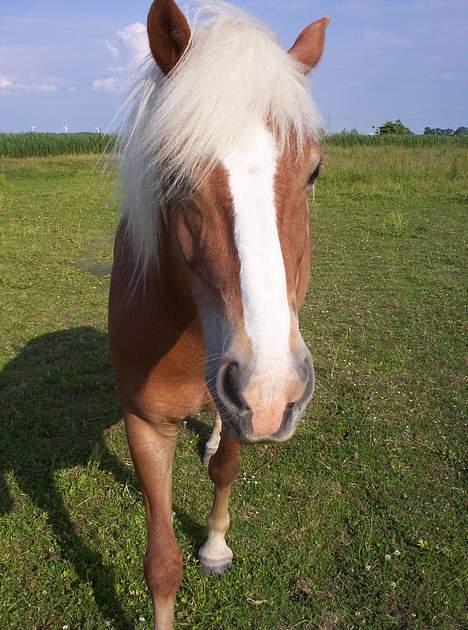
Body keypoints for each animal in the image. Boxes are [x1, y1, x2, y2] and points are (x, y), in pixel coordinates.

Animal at [109, 0, 330, 628]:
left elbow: (225, 471)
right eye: (173, 173)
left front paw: (214, 547)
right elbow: (161, 562)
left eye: (314, 171)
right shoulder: (145, 423)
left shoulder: (245, 400)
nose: (272, 391)